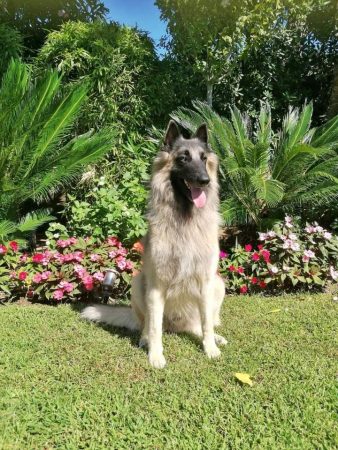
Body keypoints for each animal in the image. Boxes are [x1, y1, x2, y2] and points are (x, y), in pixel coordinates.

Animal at [80, 120, 226, 370]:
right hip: (139, 283)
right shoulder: (156, 286)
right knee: (148, 325)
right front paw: (155, 355)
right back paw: (144, 340)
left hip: (218, 284)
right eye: (183, 158)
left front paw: (210, 349)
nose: (204, 181)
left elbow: (206, 323)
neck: (184, 219)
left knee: (199, 324)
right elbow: (155, 327)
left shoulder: (206, 282)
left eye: (204, 158)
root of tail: (176, 326)